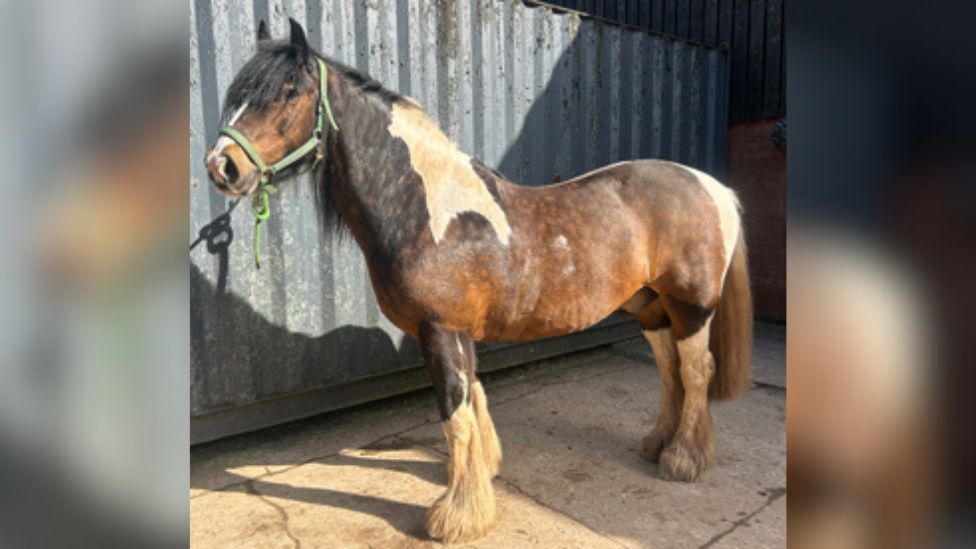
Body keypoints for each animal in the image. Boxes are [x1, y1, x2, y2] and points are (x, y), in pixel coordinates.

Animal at [206, 18, 756, 544]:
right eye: (239, 94)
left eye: (288, 92)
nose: (221, 166)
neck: (425, 212)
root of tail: (712, 187)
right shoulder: (456, 332)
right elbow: (472, 399)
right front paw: (482, 477)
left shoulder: (441, 329)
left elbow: (455, 414)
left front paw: (457, 516)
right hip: (651, 307)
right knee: (669, 372)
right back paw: (658, 444)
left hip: (690, 307)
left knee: (696, 372)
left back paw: (684, 459)